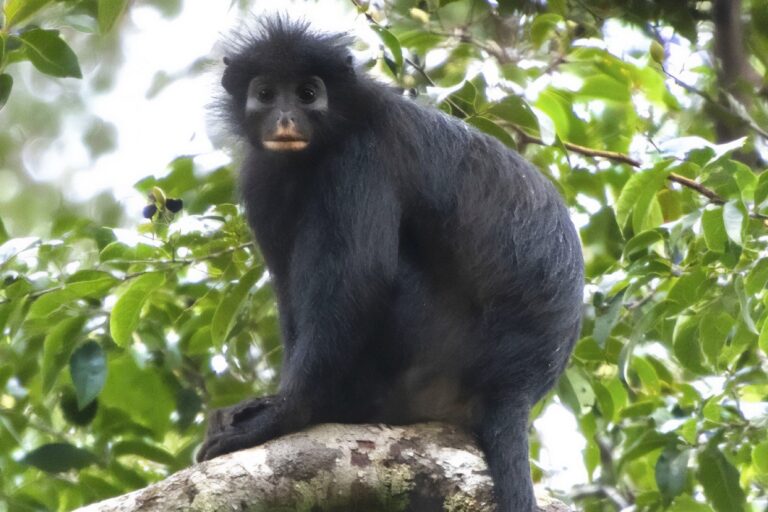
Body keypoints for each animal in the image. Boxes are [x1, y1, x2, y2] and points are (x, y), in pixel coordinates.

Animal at [197, 17, 584, 512]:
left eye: (307, 94)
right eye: (266, 93)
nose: (285, 118)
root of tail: (518, 385)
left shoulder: (360, 157)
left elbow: (360, 281)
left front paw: (287, 414)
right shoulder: (262, 177)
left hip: (431, 349)